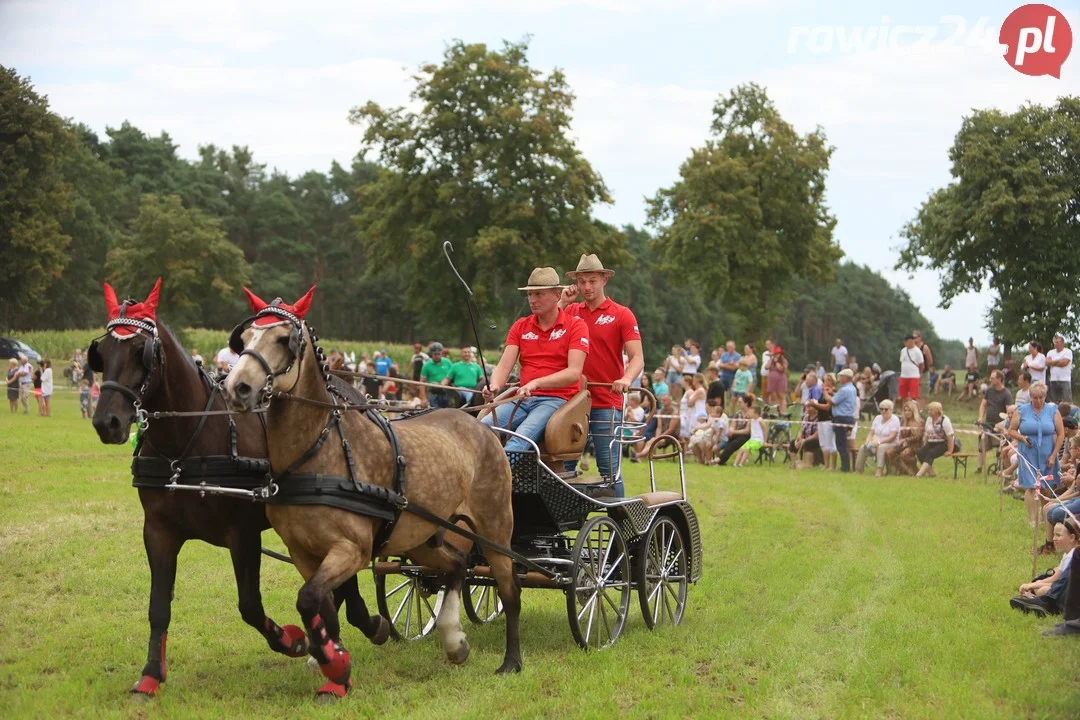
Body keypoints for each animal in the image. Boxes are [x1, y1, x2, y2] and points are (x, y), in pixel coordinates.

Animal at [89, 280, 384, 699]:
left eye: (139, 351)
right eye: (101, 353)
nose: (107, 422)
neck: (188, 445)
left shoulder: (242, 534)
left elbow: (250, 605)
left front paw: (294, 640)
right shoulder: (158, 531)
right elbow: (158, 605)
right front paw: (150, 674)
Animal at [222, 284, 522, 699]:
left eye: (284, 340)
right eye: (246, 336)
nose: (238, 387)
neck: (320, 455)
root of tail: (482, 424)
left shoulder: (352, 549)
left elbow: (311, 599)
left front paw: (337, 658)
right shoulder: (303, 552)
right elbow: (322, 604)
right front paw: (332, 663)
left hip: (495, 528)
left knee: (509, 591)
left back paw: (511, 662)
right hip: (422, 537)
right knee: (457, 566)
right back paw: (454, 640)